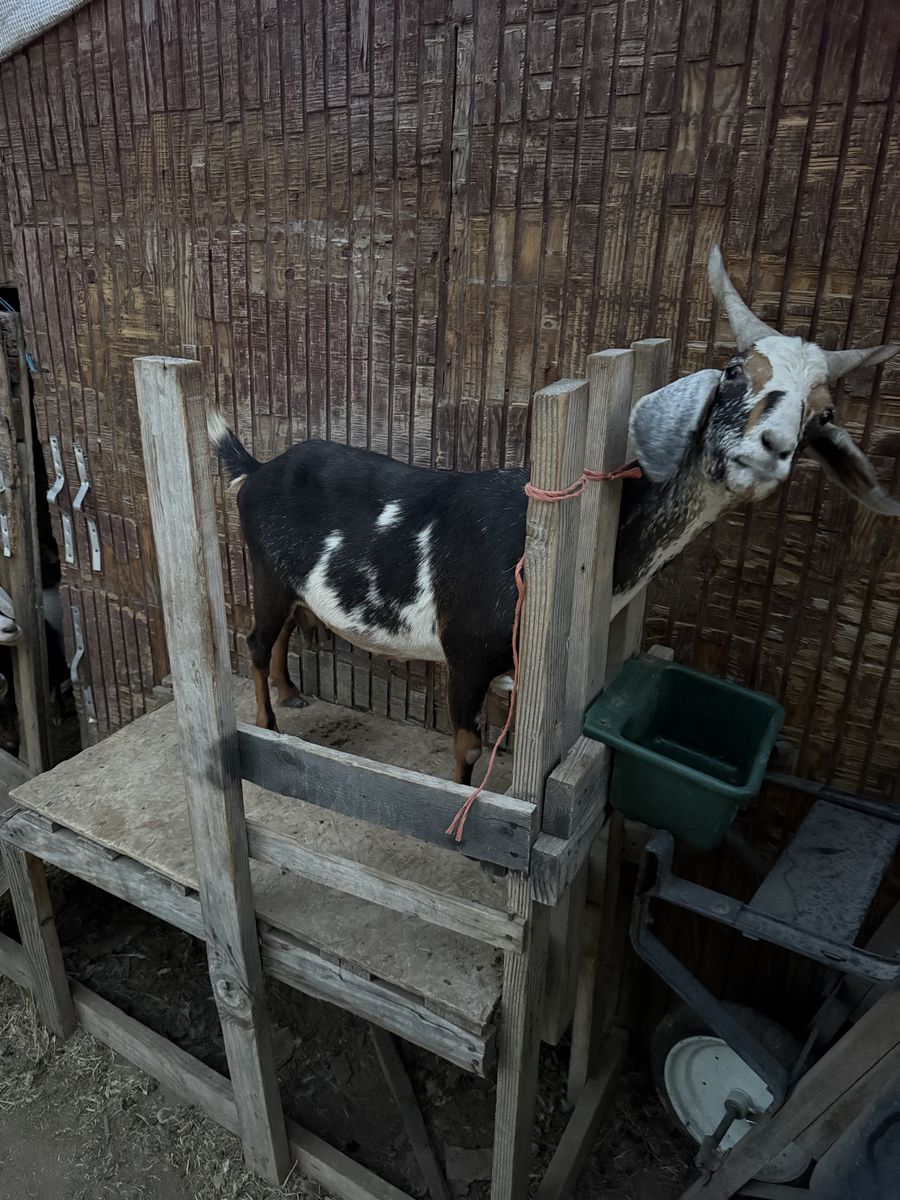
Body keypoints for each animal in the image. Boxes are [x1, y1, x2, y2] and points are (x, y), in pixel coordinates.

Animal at [209, 246, 899, 786]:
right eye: (732, 372)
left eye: (823, 415)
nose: (771, 449)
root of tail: (256, 469)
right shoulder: (466, 652)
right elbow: (468, 750)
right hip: (265, 570)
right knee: (255, 639)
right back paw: (269, 726)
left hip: (293, 583)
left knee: (285, 629)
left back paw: (293, 695)